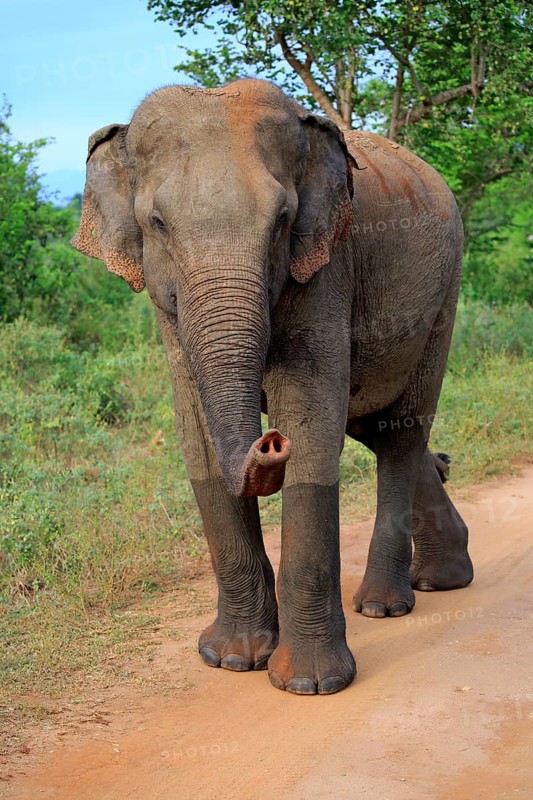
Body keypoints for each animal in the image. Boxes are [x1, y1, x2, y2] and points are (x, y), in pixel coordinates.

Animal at [72, 78, 473, 696]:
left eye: (283, 219)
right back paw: (441, 577)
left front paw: (309, 685)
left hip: (444, 295)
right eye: (157, 222)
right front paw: (231, 660)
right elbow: (197, 432)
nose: (269, 441)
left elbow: (311, 421)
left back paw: (384, 606)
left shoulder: (329, 262)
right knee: (377, 430)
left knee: (401, 434)